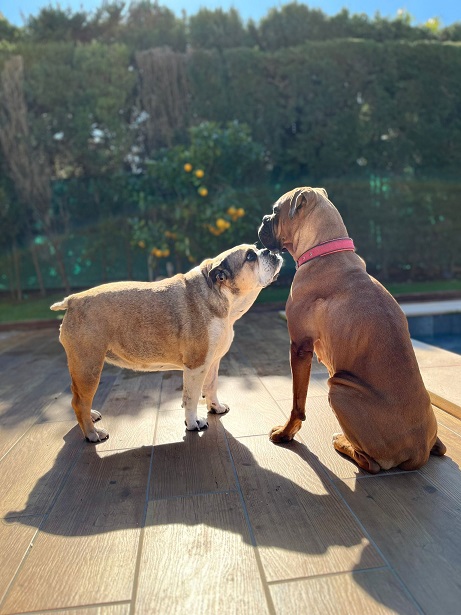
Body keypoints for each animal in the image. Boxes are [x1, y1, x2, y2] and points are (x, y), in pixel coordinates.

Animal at [51, 245, 282, 442]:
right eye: (250, 256)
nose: (270, 249)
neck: (219, 296)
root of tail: (73, 300)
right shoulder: (196, 366)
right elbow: (191, 397)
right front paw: (193, 422)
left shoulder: (212, 362)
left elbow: (211, 385)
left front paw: (215, 407)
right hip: (89, 367)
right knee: (80, 400)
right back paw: (92, 433)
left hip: (82, 368)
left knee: (76, 396)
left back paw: (90, 417)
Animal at [258, 187, 446, 473]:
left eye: (276, 210)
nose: (263, 219)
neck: (327, 251)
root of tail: (419, 451)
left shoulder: (300, 347)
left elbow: (297, 403)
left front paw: (286, 432)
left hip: (338, 388)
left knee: (371, 463)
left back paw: (341, 441)